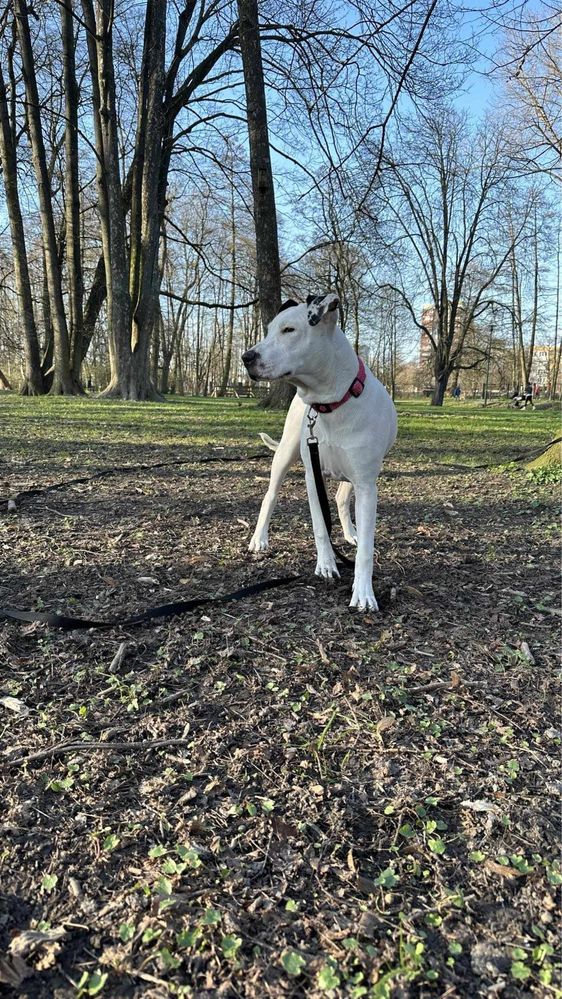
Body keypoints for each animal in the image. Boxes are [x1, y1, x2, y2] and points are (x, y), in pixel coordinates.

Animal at [243, 292, 396, 612]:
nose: (247, 357)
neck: (332, 402)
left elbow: (366, 548)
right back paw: (260, 539)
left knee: (342, 498)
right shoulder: (313, 477)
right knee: (270, 496)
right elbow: (319, 526)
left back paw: (351, 532)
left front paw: (363, 592)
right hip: (285, 454)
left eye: (289, 330)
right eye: (268, 331)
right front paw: (326, 565)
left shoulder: (366, 484)